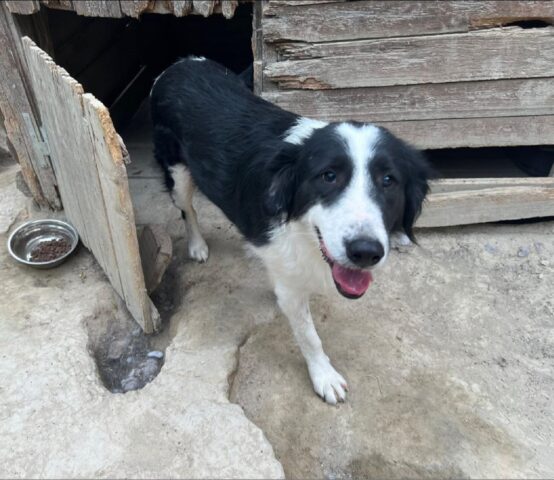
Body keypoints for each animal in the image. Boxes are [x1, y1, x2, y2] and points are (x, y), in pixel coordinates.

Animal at [151, 58, 432, 404]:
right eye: (328, 176)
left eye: (389, 180)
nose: (365, 252)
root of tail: (179, 64)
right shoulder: (292, 286)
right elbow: (309, 336)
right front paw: (324, 375)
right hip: (177, 173)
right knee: (187, 209)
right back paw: (197, 245)